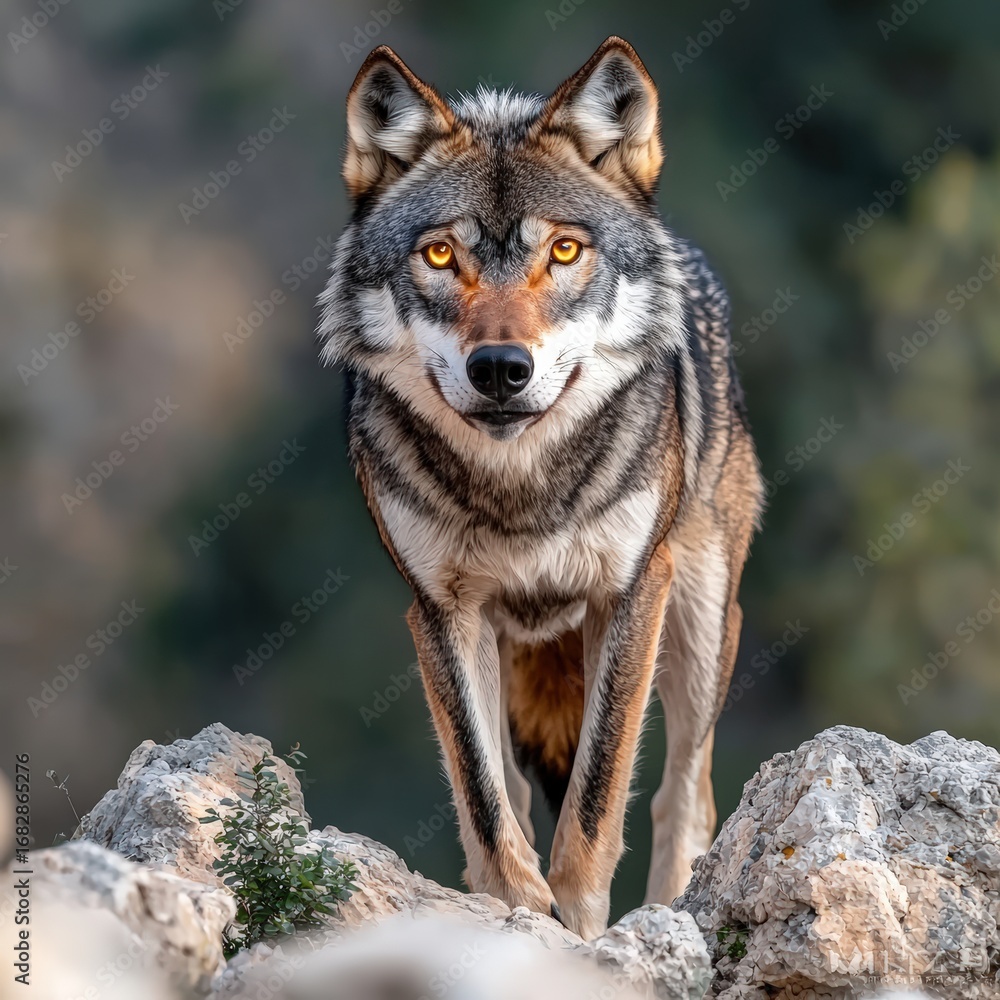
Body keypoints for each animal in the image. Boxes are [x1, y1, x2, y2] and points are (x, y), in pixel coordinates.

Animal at [319, 36, 763, 939]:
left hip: (699, 625)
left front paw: (583, 934)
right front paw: (519, 919)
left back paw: (670, 911)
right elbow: (487, 805)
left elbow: (594, 803)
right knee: (517, 795)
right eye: (440, 254)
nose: (500, 369)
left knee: (684, 794)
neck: (518, 491)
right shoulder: (439, 611)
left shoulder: (629, 594)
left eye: (562, 251)